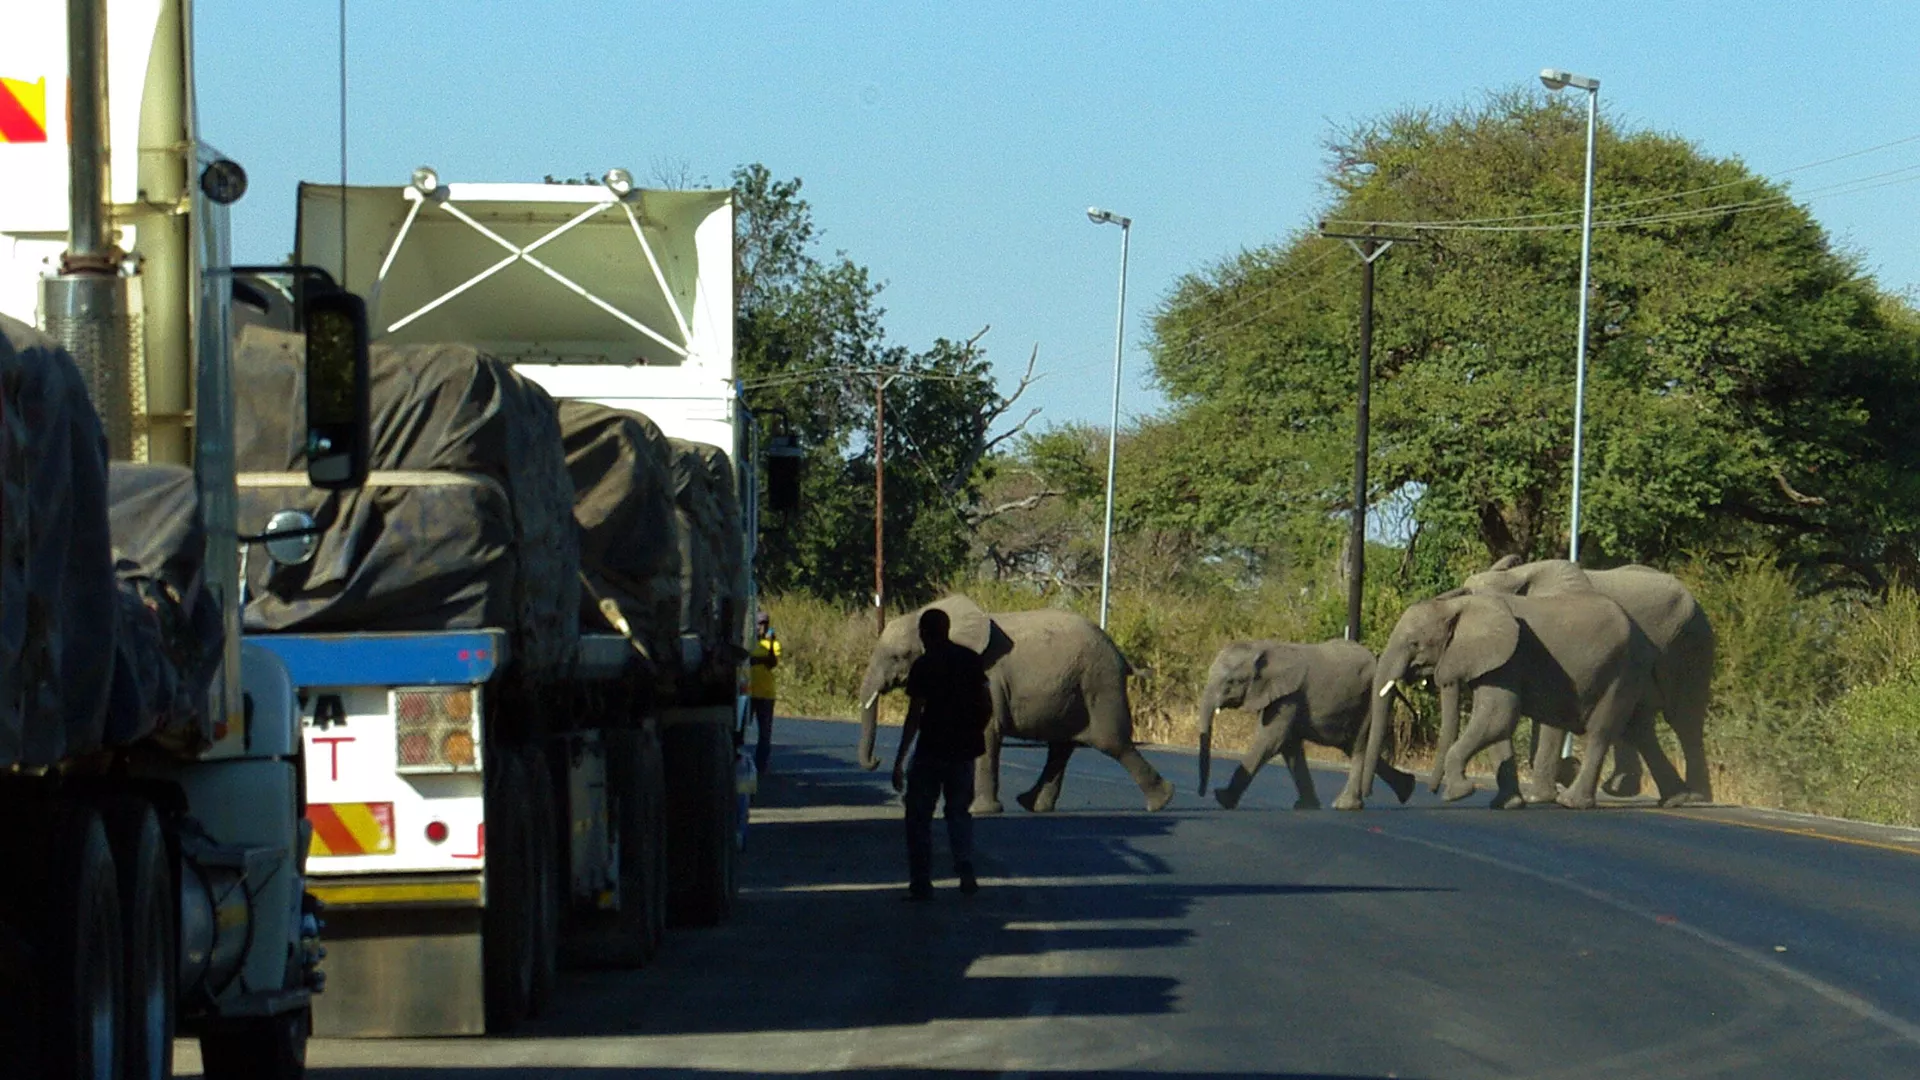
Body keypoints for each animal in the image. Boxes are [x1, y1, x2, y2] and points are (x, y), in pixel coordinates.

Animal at [856, 591, 1167, 810]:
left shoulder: (985, 678)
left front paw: (980, 811)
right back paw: (1032, 805)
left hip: (1099, 684)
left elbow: (985, 731)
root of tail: (1121, 655)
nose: (880, 764)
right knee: (1061, 747)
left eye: (899, 656)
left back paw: (1160, 802)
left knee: (1111, 742)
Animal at [1190, 634, 1420, 803]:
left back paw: (1345, 805)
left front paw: (1222, 799)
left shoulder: (1290, 695)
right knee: (1352, 745)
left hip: (1370, 699)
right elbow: (1289, 745)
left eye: (1231, 682)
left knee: (1359, 746)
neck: (1261, 647)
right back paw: (1407, 790)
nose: (1202, 793)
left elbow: (1272, 739)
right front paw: (1307, 806)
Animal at [1336, 588, 1666, 807]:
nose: (1429, 791)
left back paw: (1572, 803)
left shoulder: (1510, 659)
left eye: (1415, 643)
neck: (1457, 605)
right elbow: (1497, 727)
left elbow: (1498, 716)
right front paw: (1506, 805)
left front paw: (1458, 793)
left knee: (1602, 732)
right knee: (1636, 728)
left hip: (1622, 670)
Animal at [1459, 553, 1720, 799]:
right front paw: (1567, 775)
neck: (1516, 575)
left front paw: (1551, 787)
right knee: (1639, 720)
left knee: (1683, 718)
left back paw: (1696, 796)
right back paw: (1623, 790)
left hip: (1689, 643)